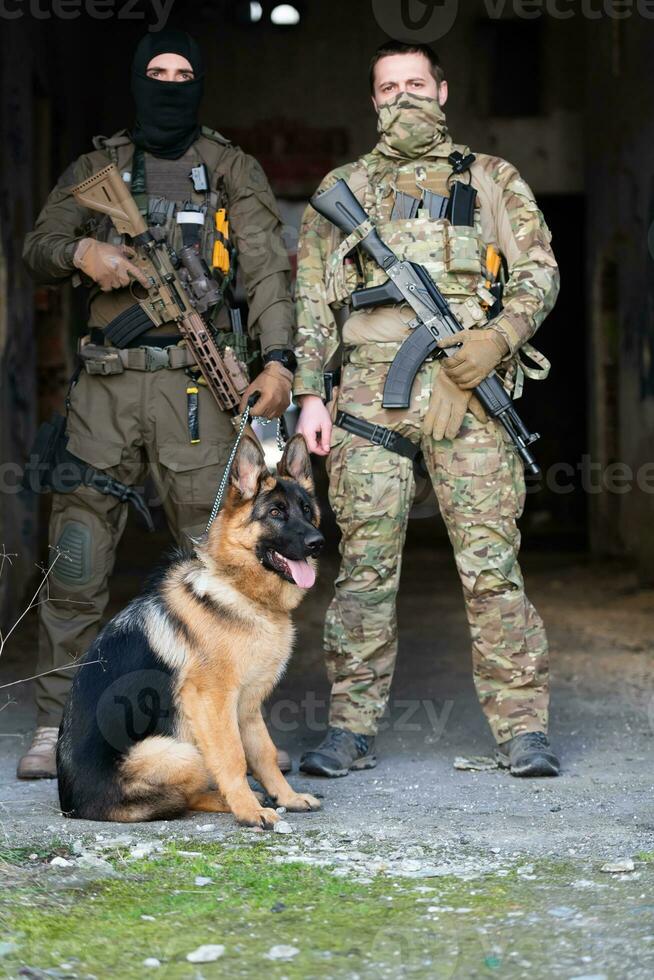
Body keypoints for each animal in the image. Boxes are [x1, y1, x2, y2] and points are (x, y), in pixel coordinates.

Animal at [57, 436, 326, 828]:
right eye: (276, 513)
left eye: (307, 510)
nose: (318, 542)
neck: (239, 590)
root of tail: (72, 806)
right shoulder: (213, 700)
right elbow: (234, 757)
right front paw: (249, 811)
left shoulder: (247, 704)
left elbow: (264, 753)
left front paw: (286, 797)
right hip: (181, 751)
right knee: (185, 795)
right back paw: (227, 802)